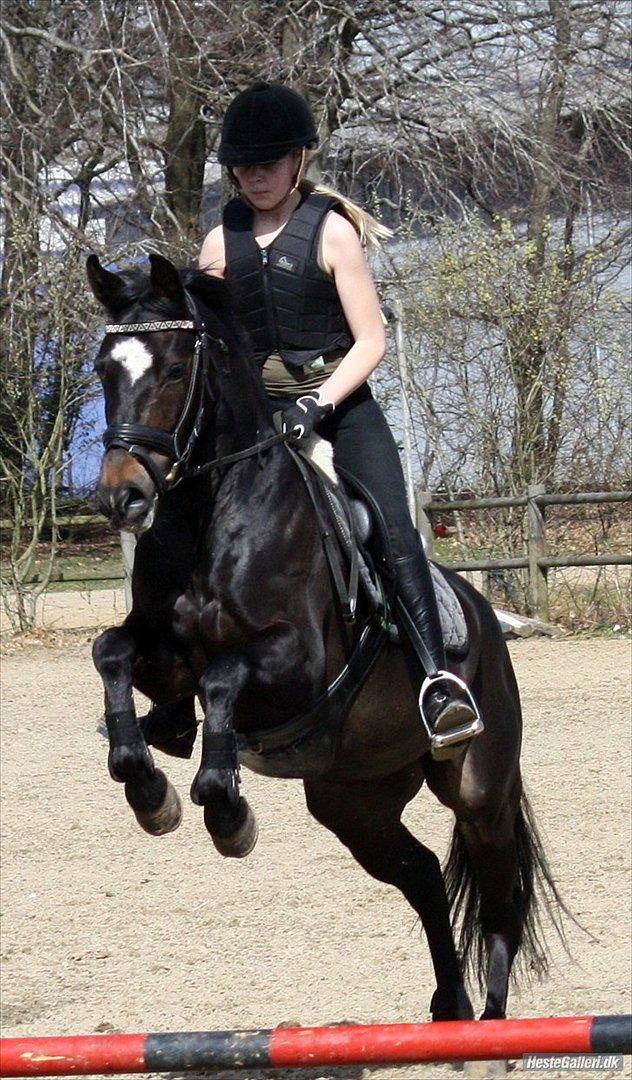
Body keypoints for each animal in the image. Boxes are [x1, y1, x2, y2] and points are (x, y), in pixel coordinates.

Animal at [87, 252, 565, 1044]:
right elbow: (112, 654)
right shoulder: (163, 658)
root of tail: (484, 616)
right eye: (103, 370)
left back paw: (491, 1026)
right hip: (354, 800)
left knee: (498, 894)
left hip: (479, 784)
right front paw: (150, 787)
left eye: (178, 367)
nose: (120, 497)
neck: (209, 515)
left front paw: (226, 812)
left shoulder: (297, 666)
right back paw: (449, 1007)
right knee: (425, 876)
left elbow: (224, 676)